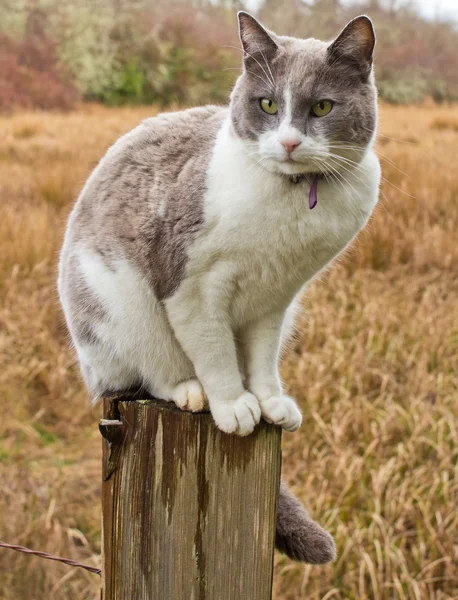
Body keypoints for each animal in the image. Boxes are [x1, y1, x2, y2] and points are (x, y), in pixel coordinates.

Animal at [58, 10, 380, 564]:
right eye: (268, 104)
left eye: (322, 106)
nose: (288, 143)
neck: (289, 202)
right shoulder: (192, 286)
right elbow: (213, 351)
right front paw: (233, 403)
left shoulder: (277, 298)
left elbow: (261, 356)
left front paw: (268, 400)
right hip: (119, 304)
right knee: (147, 368)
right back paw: (190, 391)